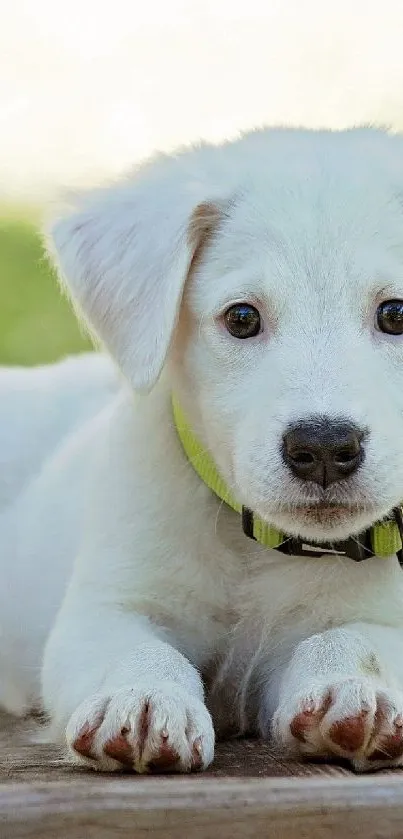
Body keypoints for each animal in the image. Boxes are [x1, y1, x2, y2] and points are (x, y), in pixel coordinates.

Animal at [2, 124, 403, 776]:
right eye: (241, 318)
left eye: (395, 313)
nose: (323, 446)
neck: (258, 548)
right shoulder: (107, 608)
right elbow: (136, 650)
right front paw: (140, 699)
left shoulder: (381, 615)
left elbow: (355, 636)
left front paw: (356, 688)